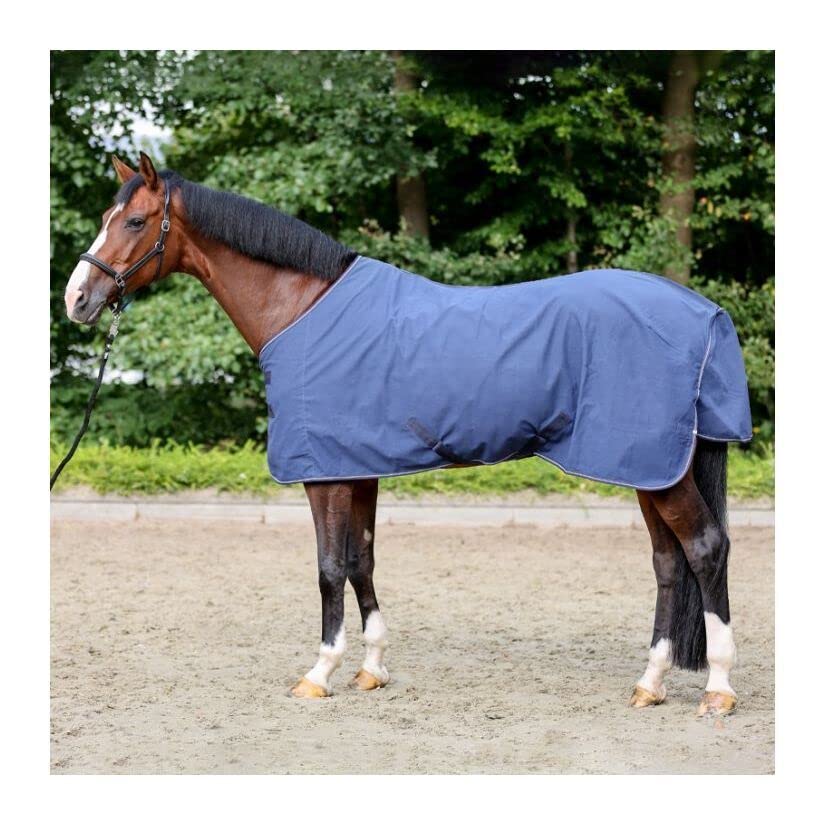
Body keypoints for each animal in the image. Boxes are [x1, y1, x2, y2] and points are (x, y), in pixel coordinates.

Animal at [62, 152, 750, 716]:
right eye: (106, 215)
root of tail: (705, 313)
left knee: (706, 548)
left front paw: (319, 672)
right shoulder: (358, 466)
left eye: (133, 222)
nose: (77, 299)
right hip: (649, 466)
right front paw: (371, 669)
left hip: (656, 469)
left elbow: (328, 567)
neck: (304, 307)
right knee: (668, 562)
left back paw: (717, 688)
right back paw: (650, 682)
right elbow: (362, 559)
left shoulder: (324, 473)